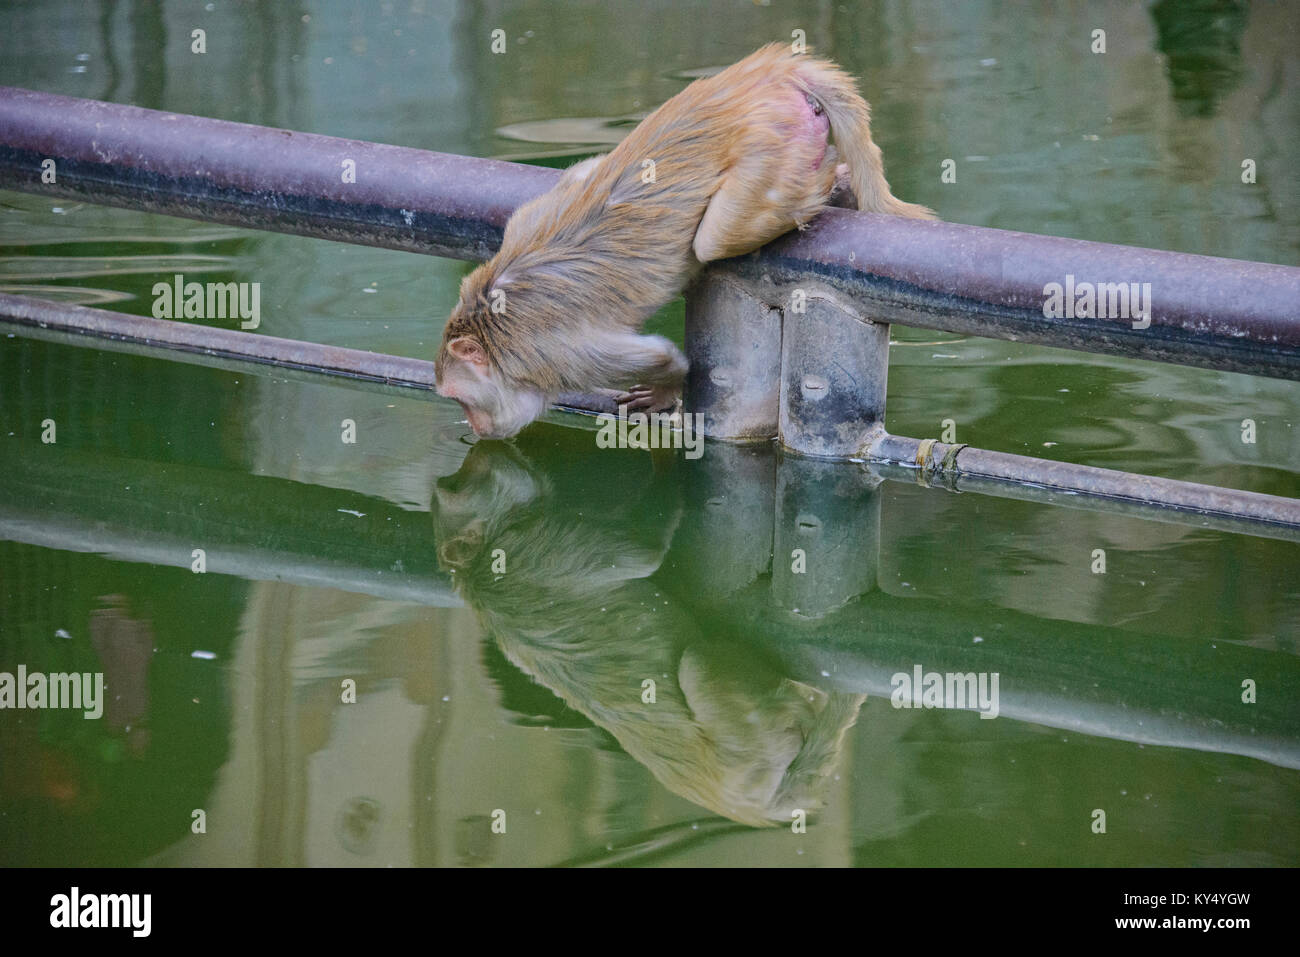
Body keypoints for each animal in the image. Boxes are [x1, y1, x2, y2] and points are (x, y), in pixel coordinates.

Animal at [435, 42, 935, 438]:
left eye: (460, 397)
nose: (473, 427)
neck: (490, 323)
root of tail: (770, 73)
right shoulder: (525, 221)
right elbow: (581, 173)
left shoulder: (554, 358)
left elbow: (661, 355)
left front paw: (665, 388)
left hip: (770, 145)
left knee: (715, 239)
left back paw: (833, 176)